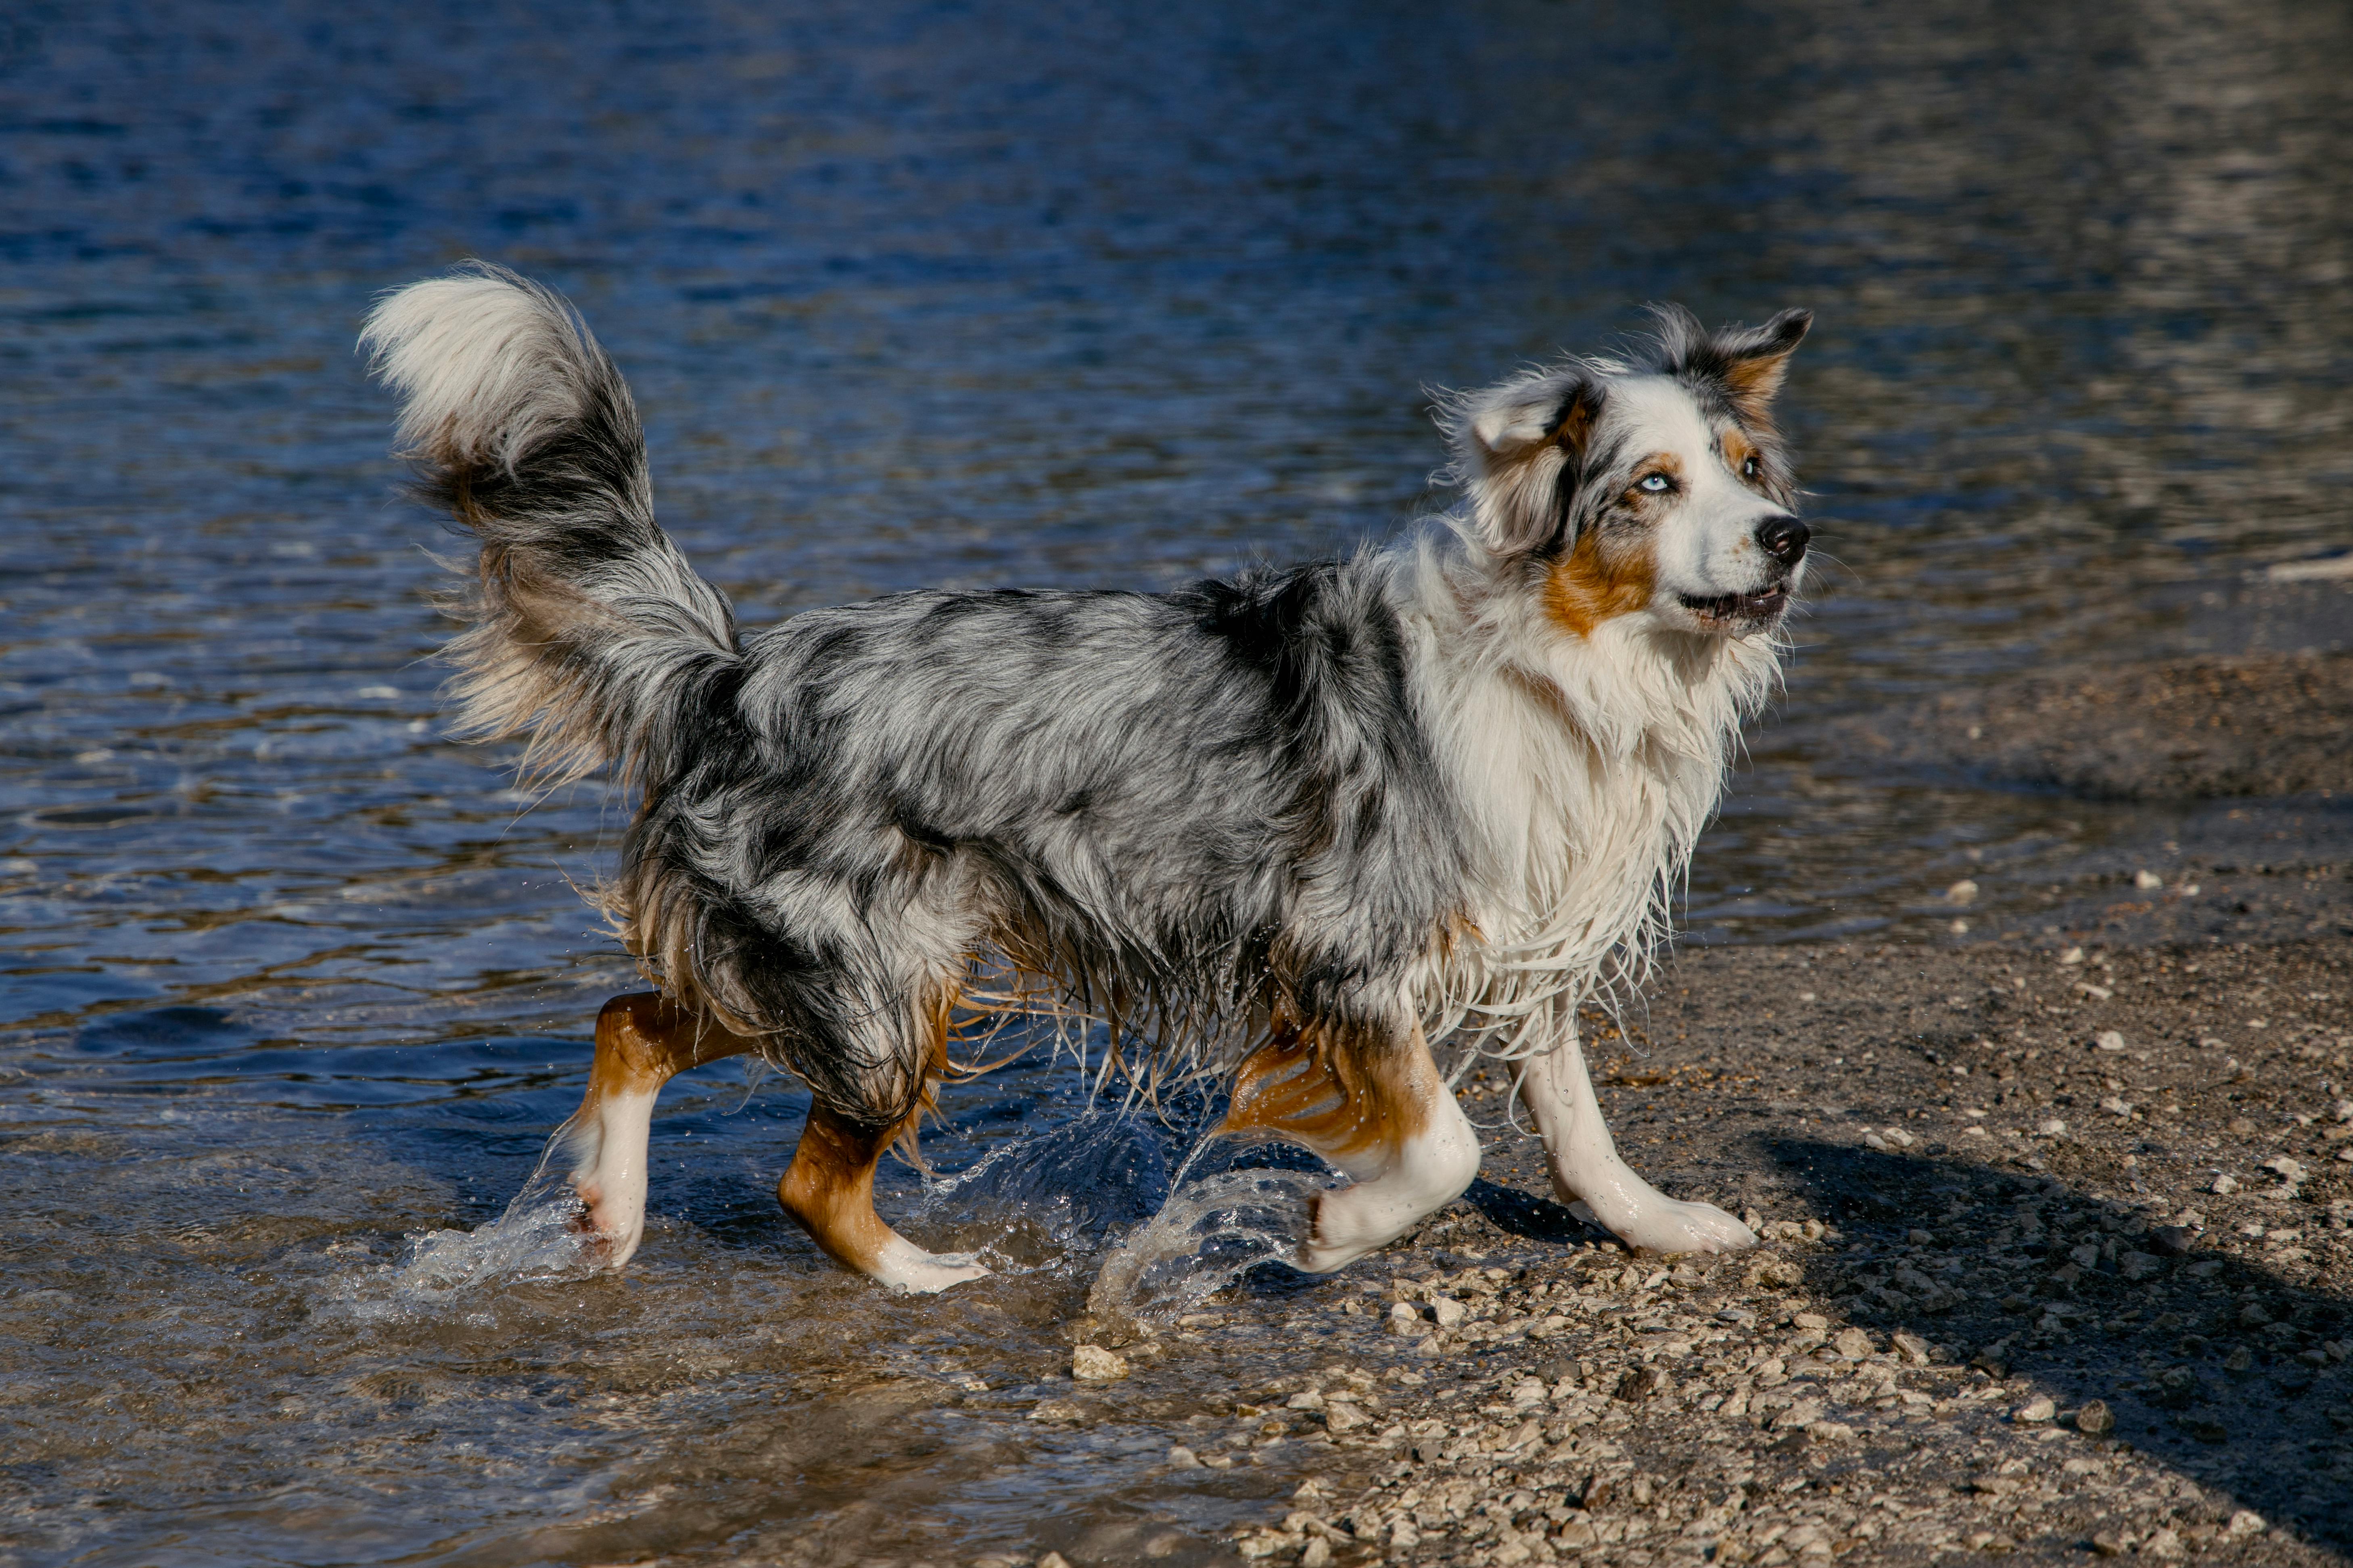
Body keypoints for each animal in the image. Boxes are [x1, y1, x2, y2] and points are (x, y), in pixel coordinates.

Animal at [362, 266, 1816, 1280]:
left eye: (1747, 468)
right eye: (1650, 483)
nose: (1789, 534)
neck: (1565, 660)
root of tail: (731, 670)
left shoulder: (1524, 928)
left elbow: (1574, 1119)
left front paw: (1660, 1222)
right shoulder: (1344, 952)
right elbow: (1450, 1145)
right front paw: (1337, 1225)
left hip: (834, 969)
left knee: (631, 1018)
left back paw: (609, 1212)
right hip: (882, 984)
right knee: (803, 1179)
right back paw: (924, 1273)